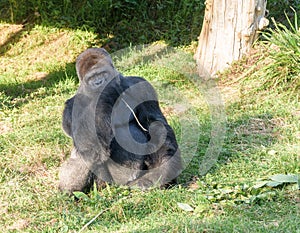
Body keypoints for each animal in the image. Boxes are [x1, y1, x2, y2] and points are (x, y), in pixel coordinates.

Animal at [57, 47, 182, 193]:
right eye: (91, 78)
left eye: (102, 73)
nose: (98, 83)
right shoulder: (70, 107)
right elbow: (87, 144)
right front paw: (105, 90)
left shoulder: (140, 85)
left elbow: (155, 123)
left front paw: (161, 172)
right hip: (103, 183)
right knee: (84, 153)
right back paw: (71, 191)